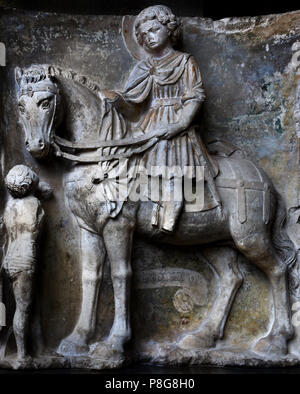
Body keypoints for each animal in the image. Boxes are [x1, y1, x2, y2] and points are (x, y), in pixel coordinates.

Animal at [14, 65, 296, 364]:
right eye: (20, 106)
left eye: (46, 102)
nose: (36, 146)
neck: (101, 158)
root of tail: (265, 180)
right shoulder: (88, 228)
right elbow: (91, 276)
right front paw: (78, 340)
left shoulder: (118, 225)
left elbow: (121, 275)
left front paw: (114, 343)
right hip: (214, 241)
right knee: (232, 278)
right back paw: (203, 337)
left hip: (250, 238)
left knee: (278, 270)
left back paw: (276, 341)